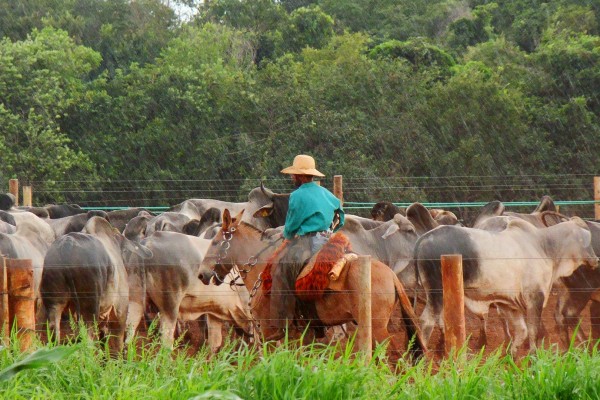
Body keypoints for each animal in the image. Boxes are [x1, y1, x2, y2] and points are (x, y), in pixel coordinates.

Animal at [198, 209, 426, 360]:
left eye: (215, 242)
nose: (202, 274)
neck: (263, 268)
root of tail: (391, 275)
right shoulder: (301, 333)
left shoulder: (269, 332)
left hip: (377, 328)